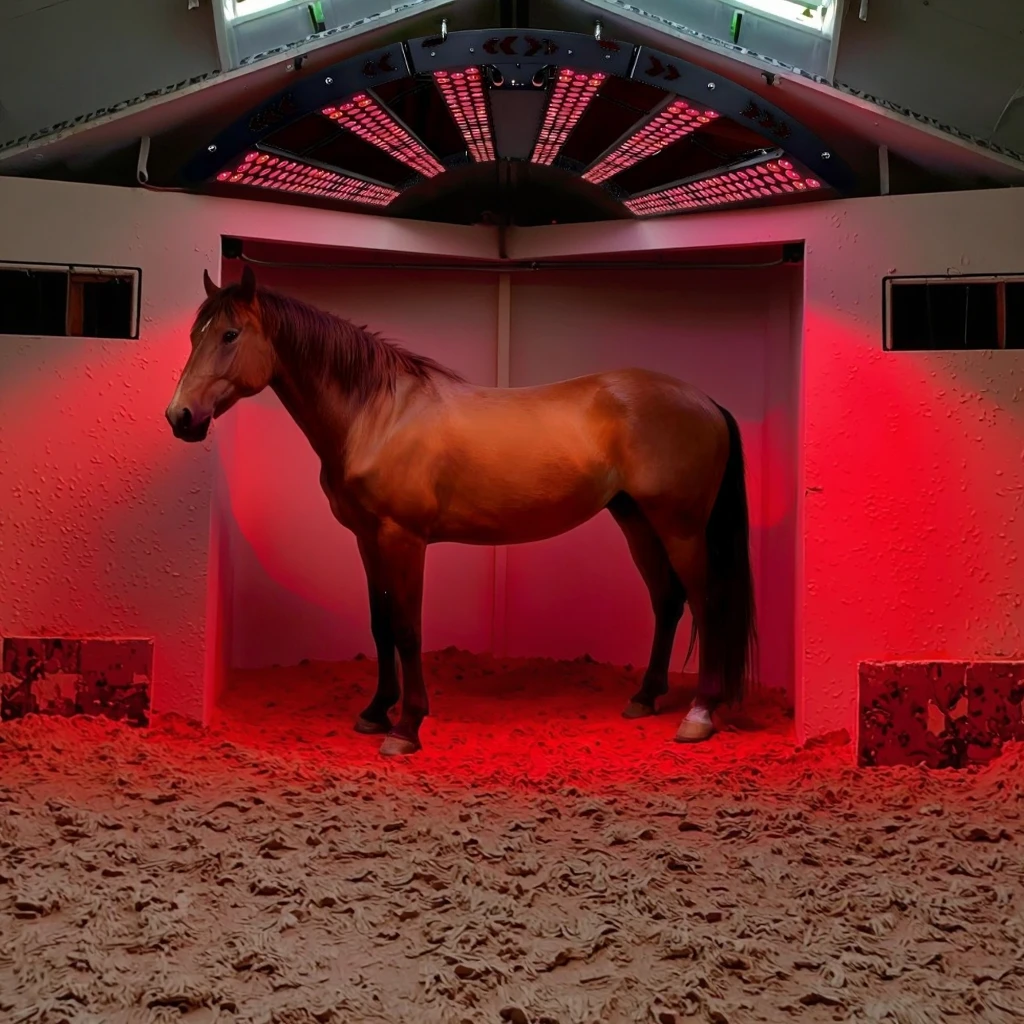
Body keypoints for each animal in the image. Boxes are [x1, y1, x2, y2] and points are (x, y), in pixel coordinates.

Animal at [165, 266, 757, 757]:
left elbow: (407, 628)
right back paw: (646, 696)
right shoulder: (367, 538)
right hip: (636, 520)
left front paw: (407, 727)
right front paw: (376, 712)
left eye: (229, 335)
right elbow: (381, 625)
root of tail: (706, 402)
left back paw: (699, 715)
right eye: (196, 334)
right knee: (668, 602)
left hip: (681, 527)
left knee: (706, 603)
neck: (378, 415)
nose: (180, 416)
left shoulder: (403, 538)